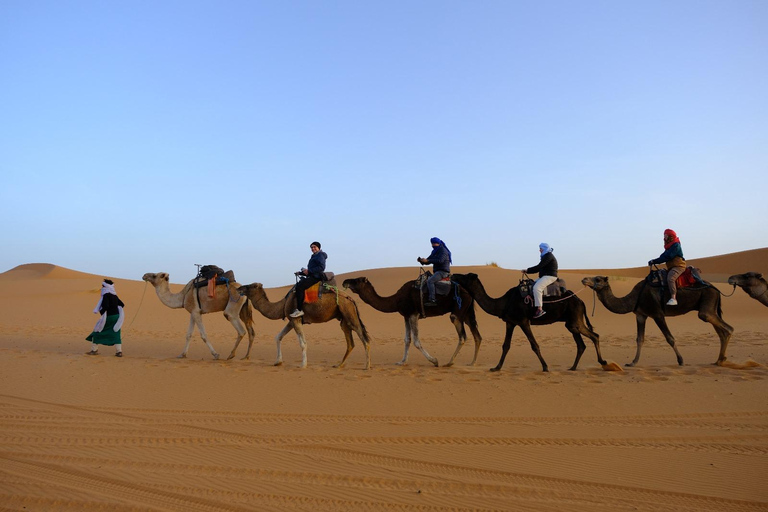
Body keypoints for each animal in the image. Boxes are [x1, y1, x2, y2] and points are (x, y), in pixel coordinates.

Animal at [240, 282, 372, 370]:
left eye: (250, 286)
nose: (239, 288)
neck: (283, 304)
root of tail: (351, 299)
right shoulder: (291, 320)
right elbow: (278, 337)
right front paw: (278, 361)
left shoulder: (296, 319)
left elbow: (303, 343)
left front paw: (303, 365)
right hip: (343, 319)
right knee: (350, 342)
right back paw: (339, 365)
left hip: (349, 313)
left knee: (364, 338)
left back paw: (367, 366)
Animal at [342, 278, 480, 366]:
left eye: (357, 280)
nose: (345, 281)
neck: (396, 299)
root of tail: (469, 293)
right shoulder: (406, 315)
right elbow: (407, 339)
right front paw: (402, 361)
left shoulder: (414, 314)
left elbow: (416, 341)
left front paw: (434, 361)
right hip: (467, 313)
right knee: (476, 335)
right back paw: (472, 362)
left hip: (458, 311)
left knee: (462, 335)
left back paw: (450, 362)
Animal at [450, 272, 608, 372]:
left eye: (466, 276)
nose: (453, 274)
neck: (503, 303)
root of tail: (580, 301)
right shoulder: (510, 322)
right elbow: (505, 345)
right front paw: (496, 367)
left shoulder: (523, 321)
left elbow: (534, 345)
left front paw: (545, 367)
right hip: (571, 323)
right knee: (581, 344)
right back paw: (573, 367)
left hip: (575, 319)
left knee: (595, 336)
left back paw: (603, 362)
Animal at [584, 278, 732, 366]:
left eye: (597, 279)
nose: (584, 279)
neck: (634, 297)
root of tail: (716, 289)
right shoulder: (641, 315)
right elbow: (640, 339)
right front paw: (633, 362)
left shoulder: (657, 314)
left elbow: (670, 338)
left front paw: (680, 360)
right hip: (710, 306)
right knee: (720, 331)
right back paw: (719, 360)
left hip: (707, 303)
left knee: (726, 327)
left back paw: (721, 359)